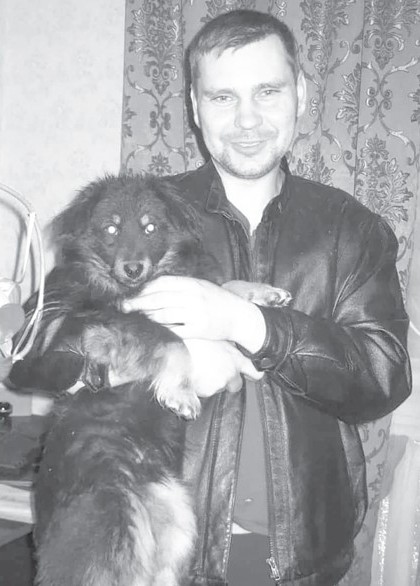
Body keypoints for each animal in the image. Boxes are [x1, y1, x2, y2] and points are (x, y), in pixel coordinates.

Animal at [9, 173, 291, 586]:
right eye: (110, 228)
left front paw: (264, 293)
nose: (132, 268)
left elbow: (226, 286)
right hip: (111, 535)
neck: (135, 285)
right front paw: (181, 394)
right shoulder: (109, 324)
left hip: (176, 531)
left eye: (150, 227)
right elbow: (172, 341)